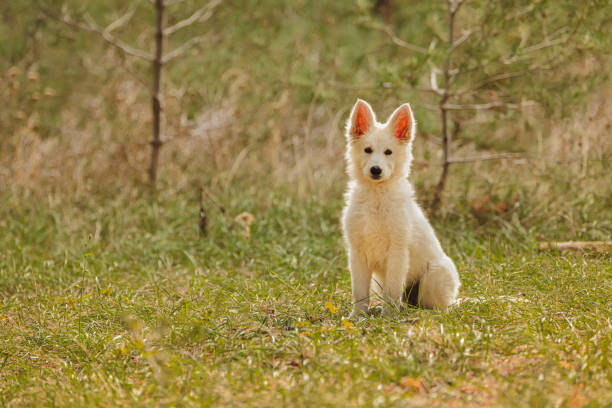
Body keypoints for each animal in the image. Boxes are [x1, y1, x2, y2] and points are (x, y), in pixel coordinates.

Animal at [340, 100, 460, 318]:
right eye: (367, 150)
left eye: (388, 152)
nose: (376, 170)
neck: (377, 196)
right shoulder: (357, 253)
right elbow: (360, 291)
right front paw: (358, 316)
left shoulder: (397, 251)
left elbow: (392, 289)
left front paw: (388, 317)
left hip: (434, 276)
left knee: (436, 306)